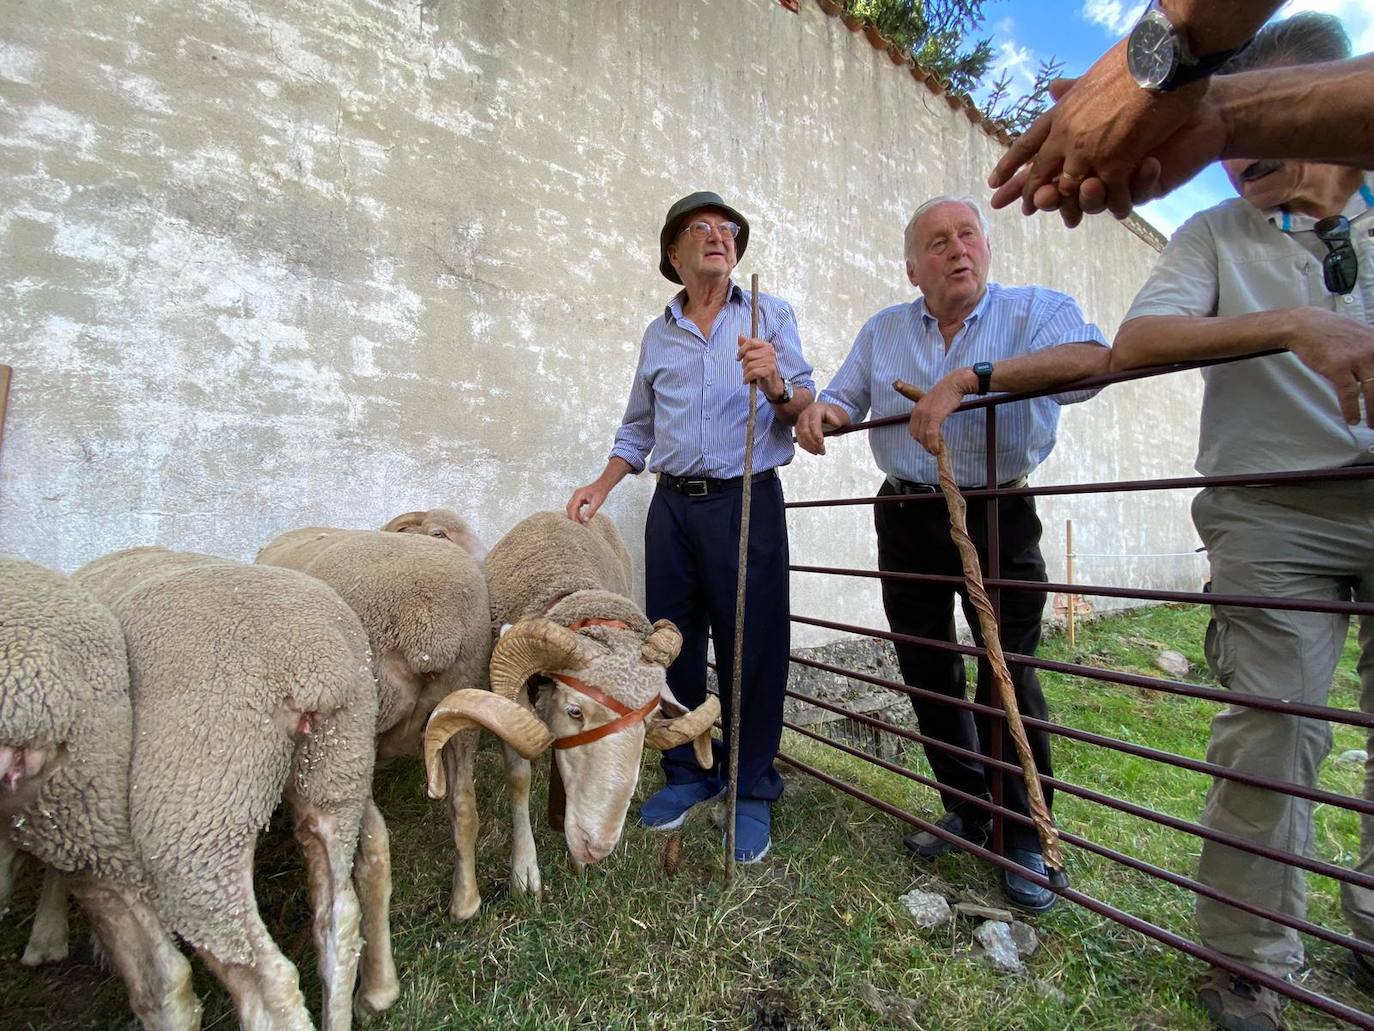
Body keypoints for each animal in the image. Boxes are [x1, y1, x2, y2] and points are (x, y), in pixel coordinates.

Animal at [73, 552, 390, 1031]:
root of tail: (308, 666)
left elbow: (150, 980)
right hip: (336, 768)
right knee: (340, 918)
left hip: (201, 822)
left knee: (264, 976)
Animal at [255, 525, 491, 918]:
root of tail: (427, 626)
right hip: (463, 692)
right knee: (463, 805)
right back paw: (465, 902)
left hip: (361, 727)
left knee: (372, 848)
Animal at [420, 514, 719, 918]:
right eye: (575, 710)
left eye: (650, 718)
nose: (598, 847)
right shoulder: (512, 702)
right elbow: (518, 779)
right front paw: (525, 872)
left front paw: (575, 858)